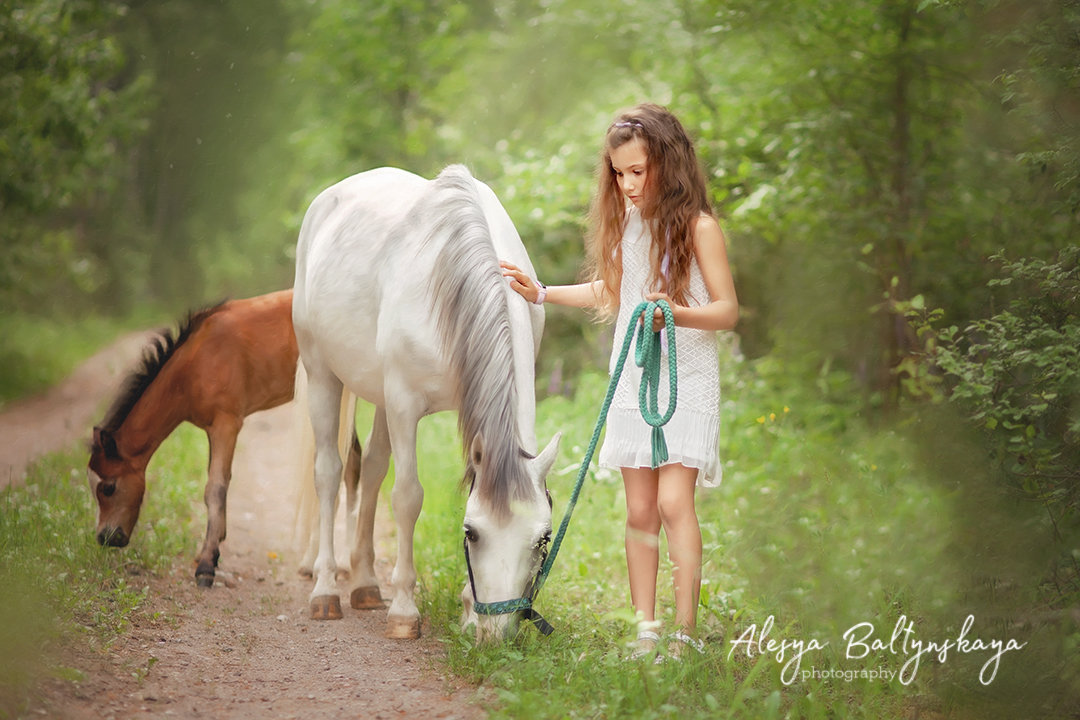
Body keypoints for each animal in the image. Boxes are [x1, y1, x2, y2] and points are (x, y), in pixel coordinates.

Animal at [289, 165, 557, 643]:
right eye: (472, 534)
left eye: (542, 538)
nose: (497, 636)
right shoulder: (403, 404)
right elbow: (408, 497)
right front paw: (404, 611)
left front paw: (467, 611)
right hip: (324, 376)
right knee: (329, 473)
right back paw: (325, 590)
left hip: (375, 395)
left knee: (372, 470)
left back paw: (365, 584)